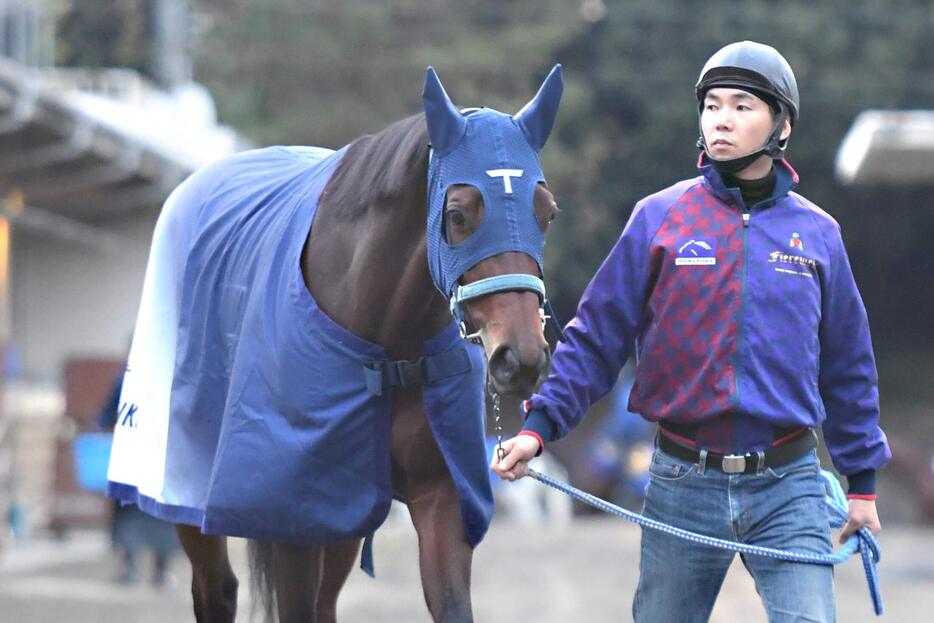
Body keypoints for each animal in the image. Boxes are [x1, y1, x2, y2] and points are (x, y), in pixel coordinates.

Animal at [106, 64, 568, 623]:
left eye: (547, 212)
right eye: (458, 214)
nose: (521, 357)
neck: (388, 349)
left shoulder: (435, 503)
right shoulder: (295, 519)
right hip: (187, 493)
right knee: (216, 590)